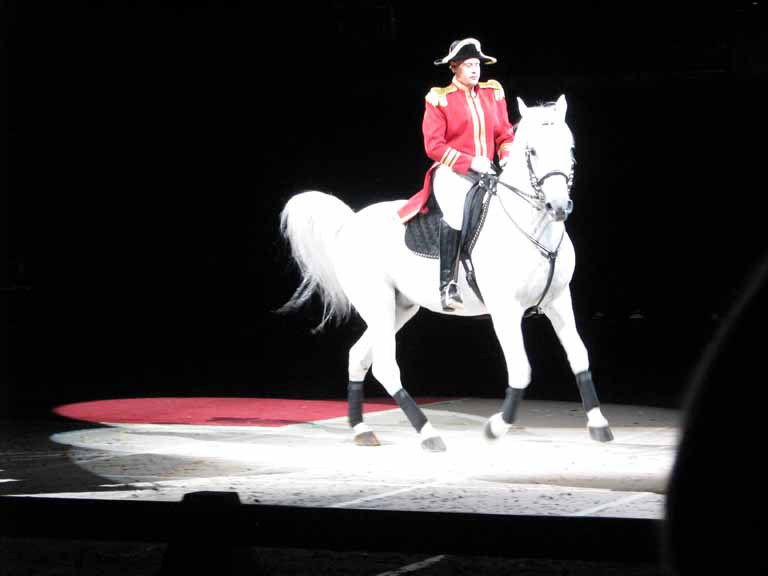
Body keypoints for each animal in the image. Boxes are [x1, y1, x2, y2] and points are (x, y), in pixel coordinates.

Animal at [280, 97, 612, 452]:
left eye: (570, 147)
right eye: (532, 151)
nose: (558, 206)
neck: (533, 228)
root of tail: (350, 223)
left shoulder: (559, 300)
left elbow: (579, 357)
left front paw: (599, 424)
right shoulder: (505, 309)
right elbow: (521, 370)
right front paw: (495, 428)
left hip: (398, 308)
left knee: (358, 357)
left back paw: (361, 429)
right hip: (377, 303)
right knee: (384, 366)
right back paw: (427, 432)